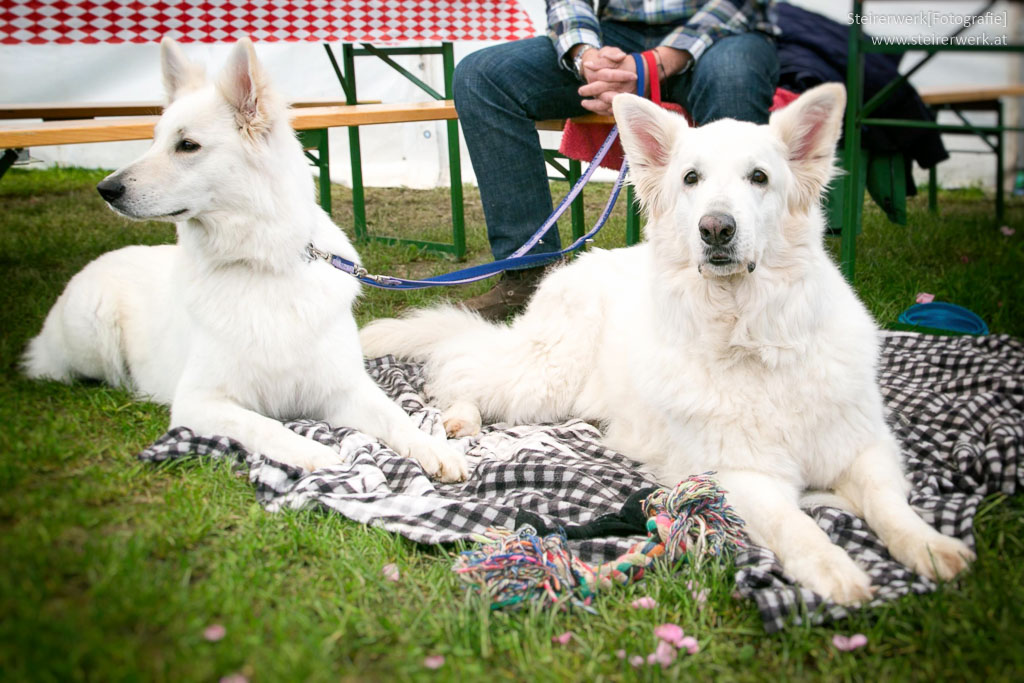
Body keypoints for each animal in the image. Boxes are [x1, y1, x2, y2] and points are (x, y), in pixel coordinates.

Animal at [22, 37, 468, 483]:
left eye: (187, 145)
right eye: (153, 141)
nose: (105, 189)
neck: (262, 265)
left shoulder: (342, 389)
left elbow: (396, 418)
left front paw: (433, 448)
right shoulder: (200, 402)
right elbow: (264, 424)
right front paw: (314, 454)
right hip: (92, 334)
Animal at [362, 83, 974, 602]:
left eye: (759, 177)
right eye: (690, 179)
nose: (716, 229)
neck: (752, 334)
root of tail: (573, 264)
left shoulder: (865, 447)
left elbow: (890, 505)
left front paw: (930, 547)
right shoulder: (739, 477)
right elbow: (796, 524)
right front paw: (832, 570)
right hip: (546, 378)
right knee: (459, 364)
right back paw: (458, 418)